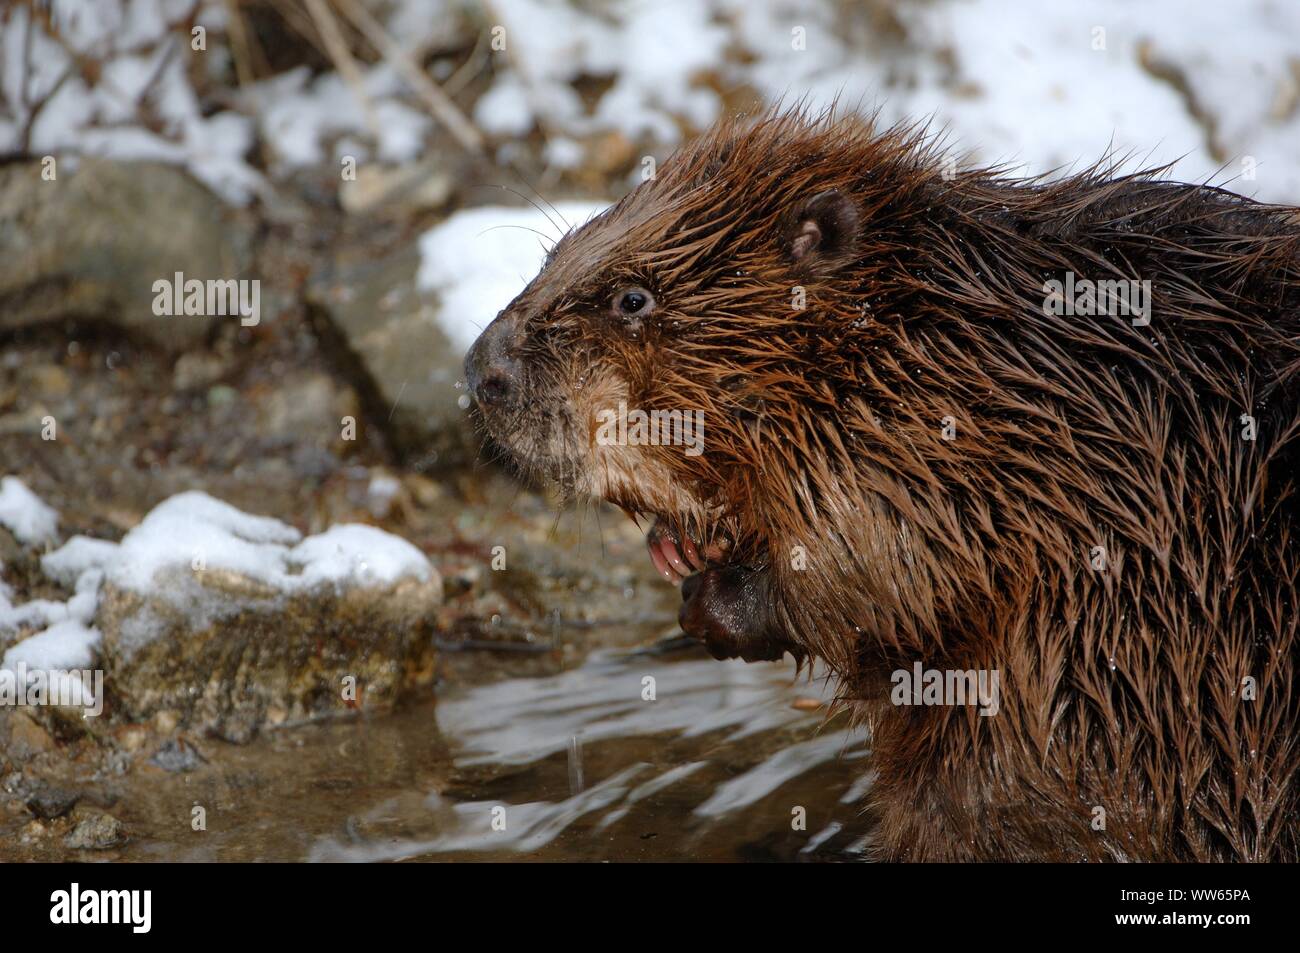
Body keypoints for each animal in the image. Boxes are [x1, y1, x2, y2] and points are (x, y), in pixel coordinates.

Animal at [465, 107, 1300, 858]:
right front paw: (680, 548)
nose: (483, 370)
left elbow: (891, 567)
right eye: (558, 247)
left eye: (633, 298)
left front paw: (711, 595)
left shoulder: (955, 438)